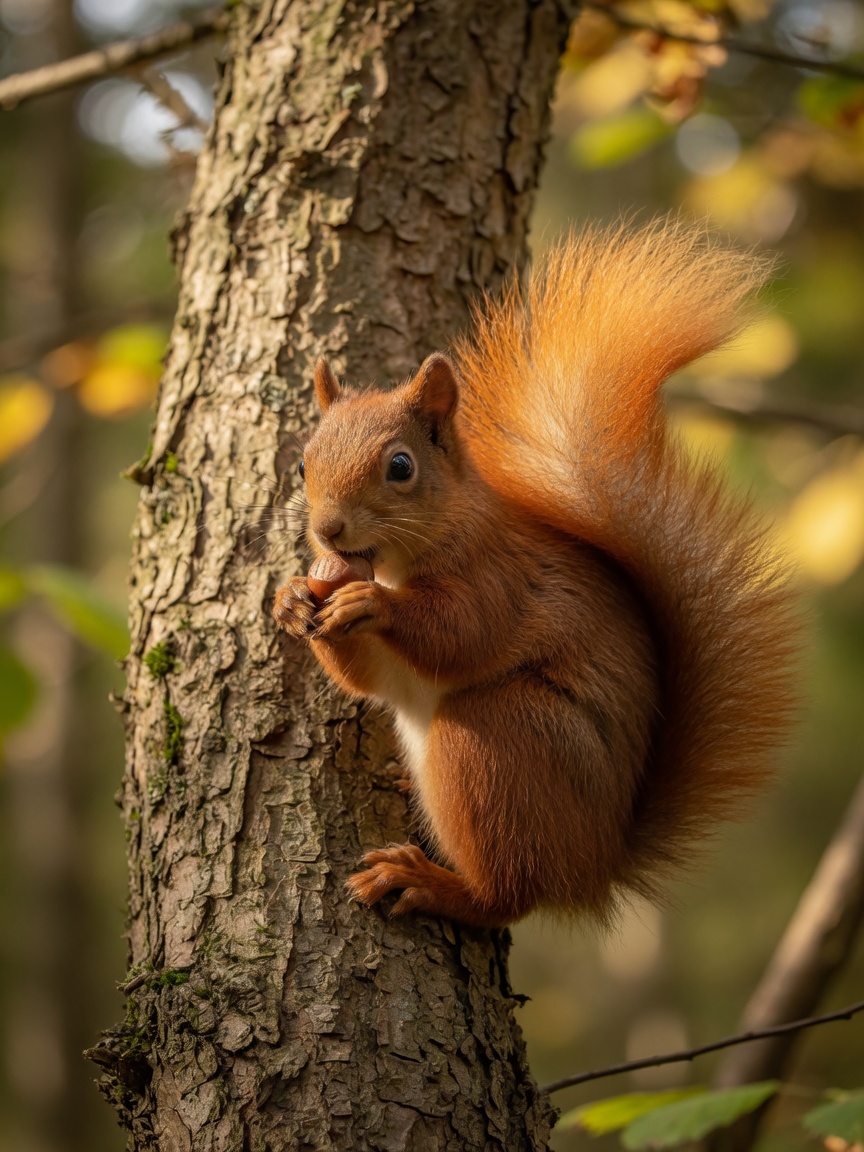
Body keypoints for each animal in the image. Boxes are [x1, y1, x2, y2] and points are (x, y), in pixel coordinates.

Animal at [273, 220, 799, 929]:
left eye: (401, 467)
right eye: (303, 464)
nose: (328, 531)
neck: (402, 562)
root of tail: (597, 866)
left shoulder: (502, 575)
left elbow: (459, 633)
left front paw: (370, 607)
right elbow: (370, 677)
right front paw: (292, 598)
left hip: (504, 739)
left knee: (507, 897)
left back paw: (432, 882)